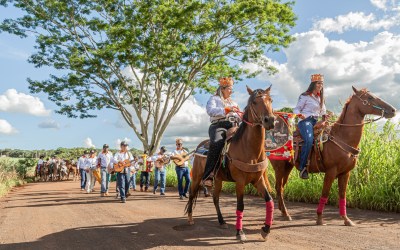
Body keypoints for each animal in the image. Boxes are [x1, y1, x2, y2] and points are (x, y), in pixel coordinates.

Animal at [186, 85, 276, 240]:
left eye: (270, 99)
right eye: (254, 102)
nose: (269, 120)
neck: (249, 148)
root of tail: (198, 147)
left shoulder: (258, 180)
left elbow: (269, 200)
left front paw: (265, 229)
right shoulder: (240, 181)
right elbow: (240, 206)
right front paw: (240, 232)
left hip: (218, 179)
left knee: (215, 198)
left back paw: (222, 221)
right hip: (197, 177)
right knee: (192, 194)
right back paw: (190, 219)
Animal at [270, 87, 396, 226]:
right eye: (369, 97)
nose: (393, 110)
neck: (342, 137)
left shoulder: (345, 173)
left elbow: (342, 195)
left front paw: (346, 219)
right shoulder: (330, 171)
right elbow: (325, 193)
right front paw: (319, 218)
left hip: (288, 167)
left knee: (281, 188)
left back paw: (283, 212)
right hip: (279, 168)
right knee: (278, 187)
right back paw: (286, 214)